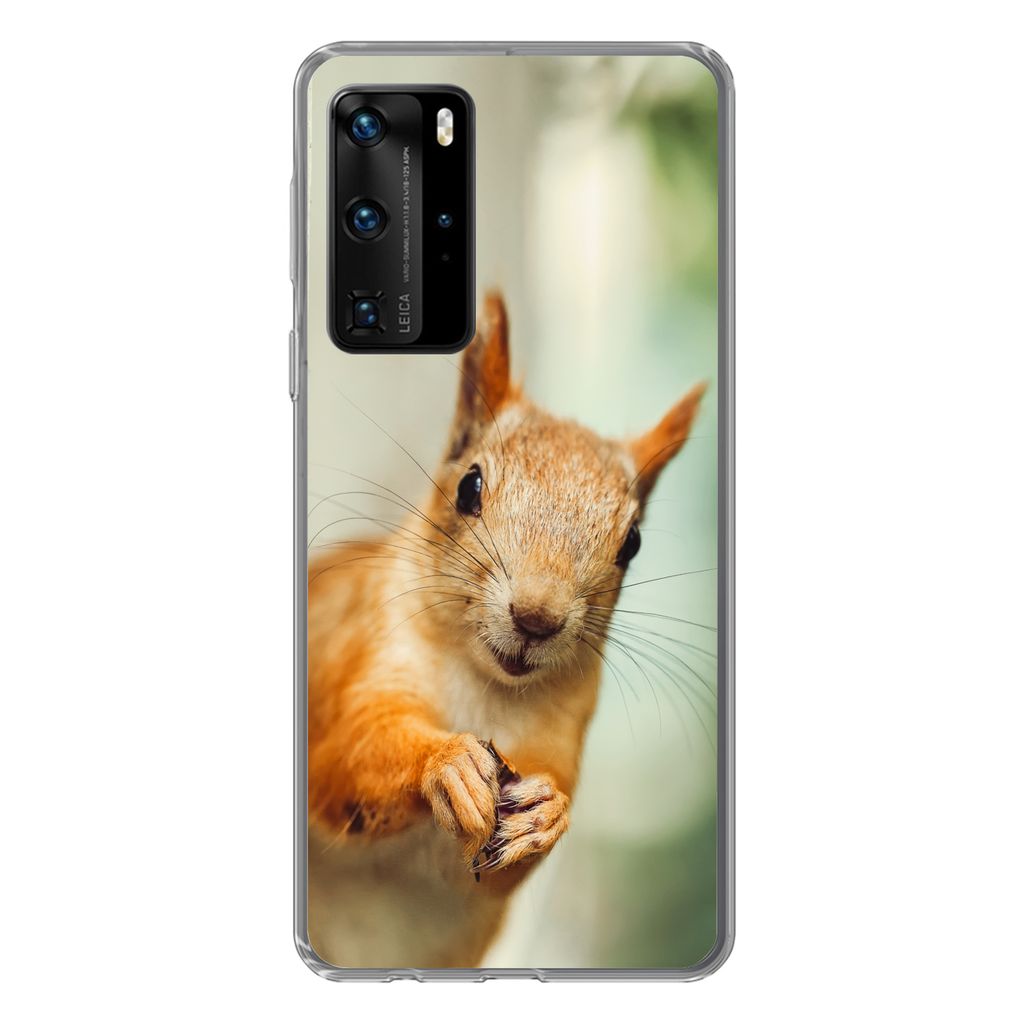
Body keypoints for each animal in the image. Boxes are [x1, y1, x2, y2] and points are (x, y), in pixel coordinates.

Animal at [306, 292, 706, 969]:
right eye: (469, 486)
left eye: (632, 543)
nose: (537, 618)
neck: (484, 687)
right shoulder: (360, 658)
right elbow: (345, 758)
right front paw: (446, 762)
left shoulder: (558, 739)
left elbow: (503, 870)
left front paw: (547, 815)